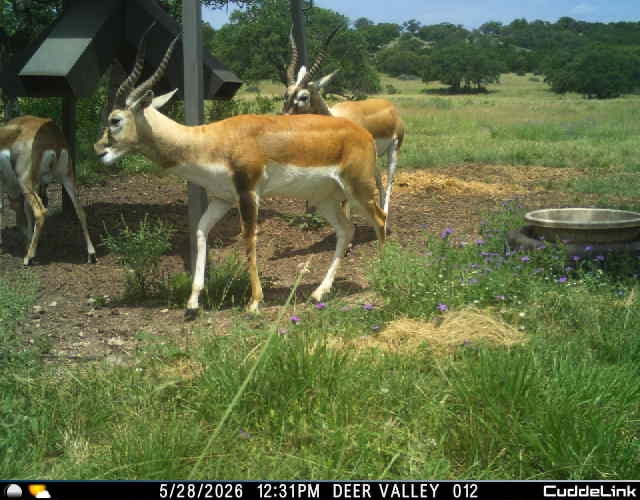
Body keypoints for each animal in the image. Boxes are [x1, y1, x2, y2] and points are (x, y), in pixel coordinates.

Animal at [0, 115, 96, 265]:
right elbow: (26, 210)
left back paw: (29, 257)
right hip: (66, 178)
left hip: (25, 181)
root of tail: (52, 136)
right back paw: (91, 254)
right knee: (80, 211)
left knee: (40, 212)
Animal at [94, 28, 386, 319]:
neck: (212, 140)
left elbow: (249, 239)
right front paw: (193, 302)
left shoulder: (248, 193)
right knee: (346, 229)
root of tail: (363, 134)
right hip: (324, 198)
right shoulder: (221, 198)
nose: (98, 150)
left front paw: (254, 302)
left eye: (115, 120)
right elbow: (200, 231)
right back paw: (318, 293)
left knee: (380, 220)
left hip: (359, 188)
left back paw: (383, 275)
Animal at [282, 28, 405, 218]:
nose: (284, 116)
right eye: (285, 95)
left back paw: (385, 216)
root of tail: (391, 107)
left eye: (304, 97)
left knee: (390, 180)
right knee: (379, 183)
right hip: (374, 159)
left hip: (393, 151)